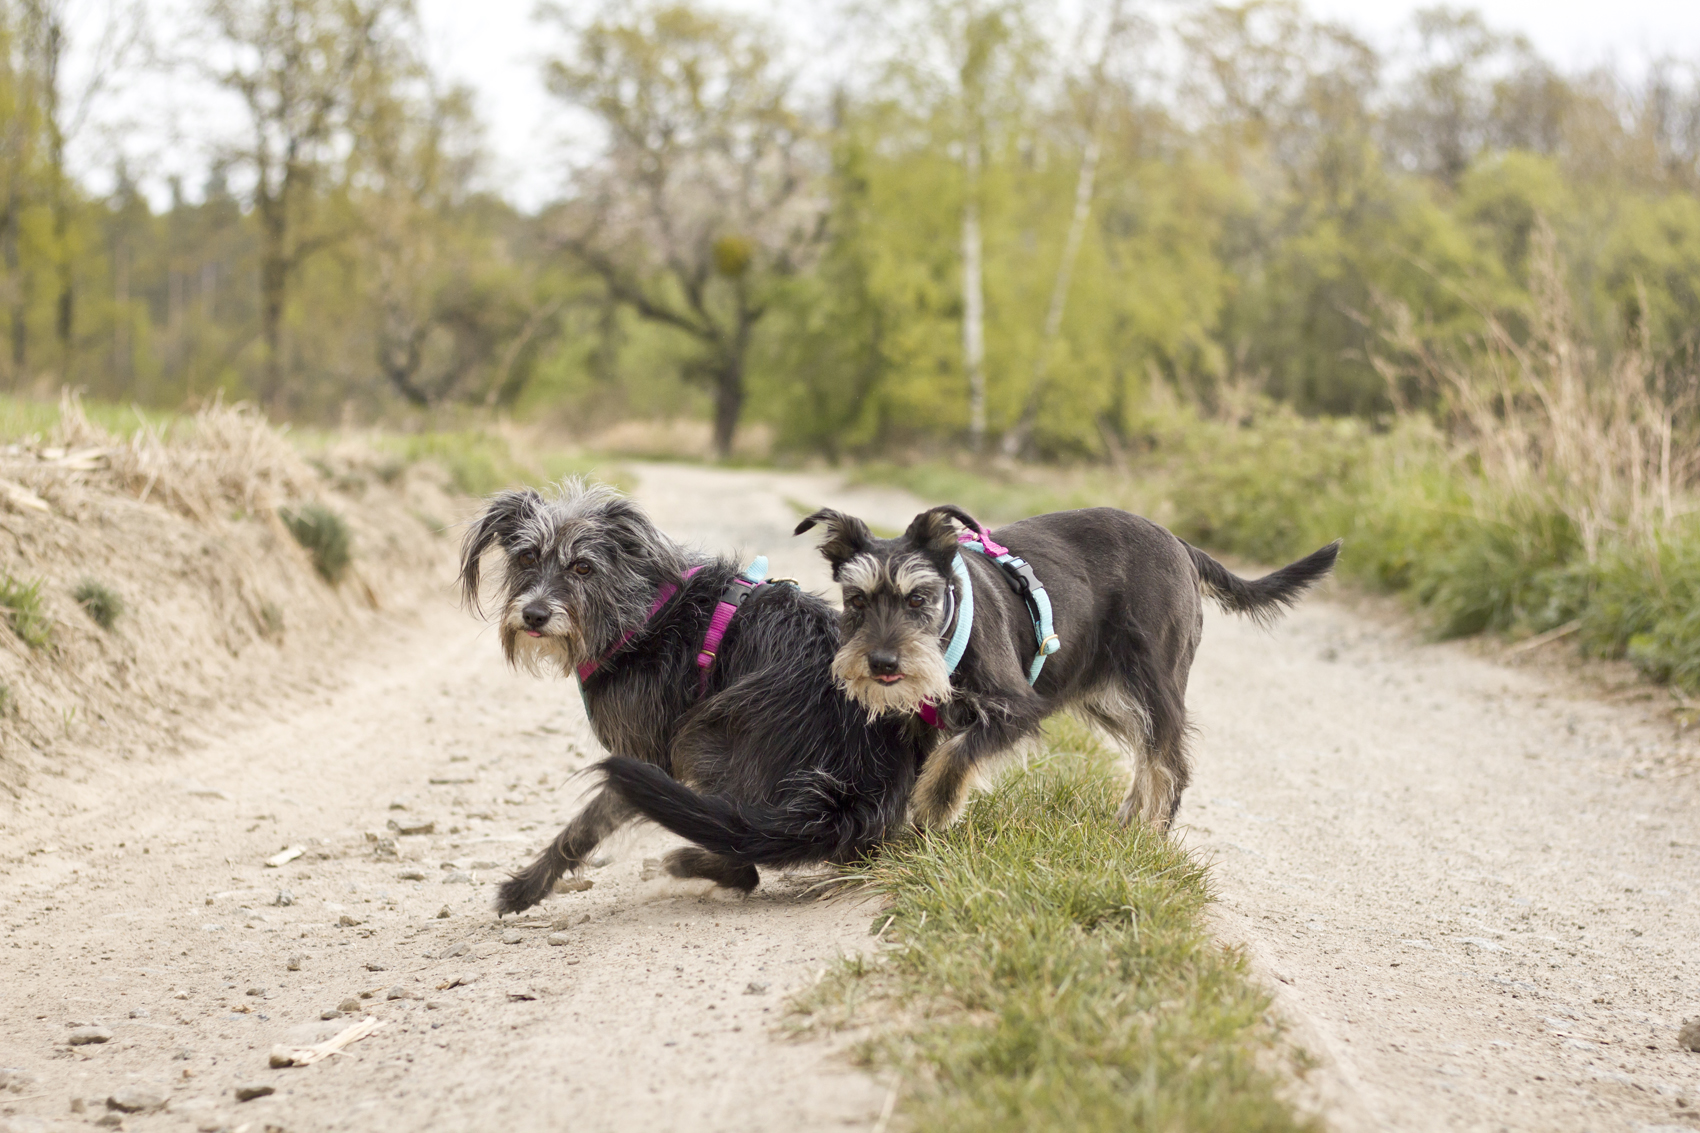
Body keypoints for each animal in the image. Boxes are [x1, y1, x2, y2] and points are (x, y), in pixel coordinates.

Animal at [460, 480, 921, 915]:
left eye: (583, 566)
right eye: (526, 557)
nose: (534, 614)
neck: (639, 615)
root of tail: (846, 797)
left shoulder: (643, 757)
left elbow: (582, 828)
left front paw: (524, 887)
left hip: (705, 736)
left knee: (743, 863)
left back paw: (681, 863)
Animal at [795, 503, 1339, 832]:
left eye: (918, 598)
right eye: (856, 600)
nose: (882, 661)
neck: (947, 634)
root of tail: (1181, 546)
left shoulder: (1017, 708)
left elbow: (955, 755)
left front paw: (932, 808)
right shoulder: (914, 722)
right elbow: (913, 768)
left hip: (1156, 683)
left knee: (1170, 762)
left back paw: (1150, 833)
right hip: (1107, 696)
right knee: (1147, 753)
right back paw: (1128, 821)